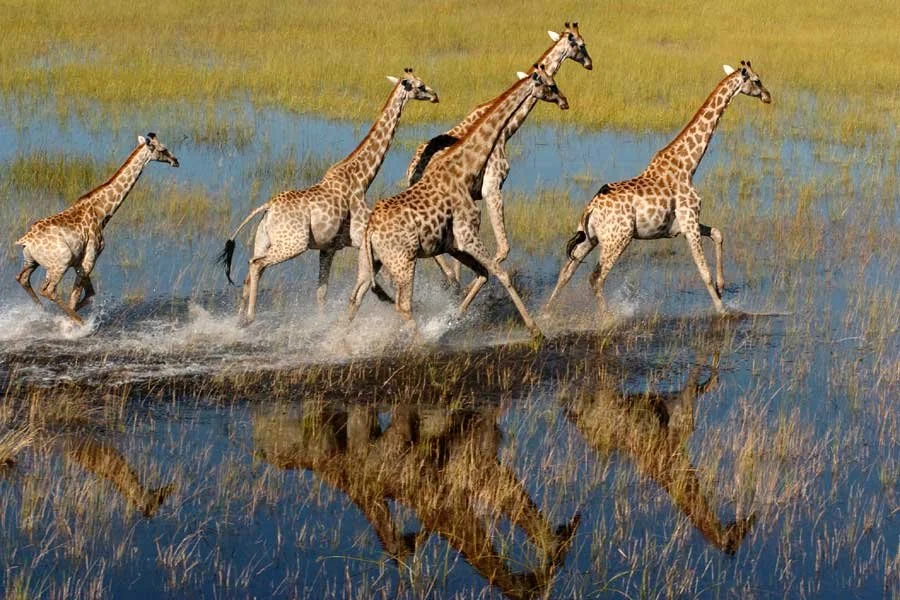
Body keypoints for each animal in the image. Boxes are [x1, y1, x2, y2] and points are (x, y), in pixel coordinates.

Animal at [15, 133, 179, 325]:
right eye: (163, 149)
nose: (176, 161)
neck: (103, 213)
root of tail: (26, 240)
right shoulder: (90, 258)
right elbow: (77, 297)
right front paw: (74, 323)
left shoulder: (78, 262)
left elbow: (89, 294)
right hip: (61, 262)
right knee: (48, 289)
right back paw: (77, 321)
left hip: (31, 261)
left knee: (23, 279)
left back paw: (44, 312)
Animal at [219, 69, 438, 324]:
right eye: (420, 86)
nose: (435, 96)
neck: (361, 178)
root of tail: (267, 207)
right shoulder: (360, 239)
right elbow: (373, 284)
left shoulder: (329, 247)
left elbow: (322, 292)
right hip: (293, 243)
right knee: (255, 266)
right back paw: (251, 317)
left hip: (264, 240)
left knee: (250, 273)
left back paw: (239, 319)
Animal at [347, 66, 569, 337]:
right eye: (551, 84)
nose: (565, 101)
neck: (464, 168)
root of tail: (370, 230)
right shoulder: (468, 235)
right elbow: (500, 272)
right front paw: (535, 329)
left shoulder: (453, 244)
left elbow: (483, 273)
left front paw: (455, 316)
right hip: (403, 262)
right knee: (403, 305)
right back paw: (421, 341)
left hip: (370, 262)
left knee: (356, 297)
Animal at [406, 22, 592, 284]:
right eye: (581, 45)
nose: (590, 64)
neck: (507, 129)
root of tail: (412, 170)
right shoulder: (491, 187)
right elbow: (500, 251)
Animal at [544, 61, 771, 316]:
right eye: (757, 80)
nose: (768, 96)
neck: (688, 165)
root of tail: (590, 209)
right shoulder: (690, 222)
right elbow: (704, 272)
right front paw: (722, 310)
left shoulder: (684, 225)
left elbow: (718, 233)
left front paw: (722, 287)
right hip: (618, 239)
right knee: (595, 277)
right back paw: (607, 318)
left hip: (589, 238)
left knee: (566, 272)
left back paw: (545, 313)